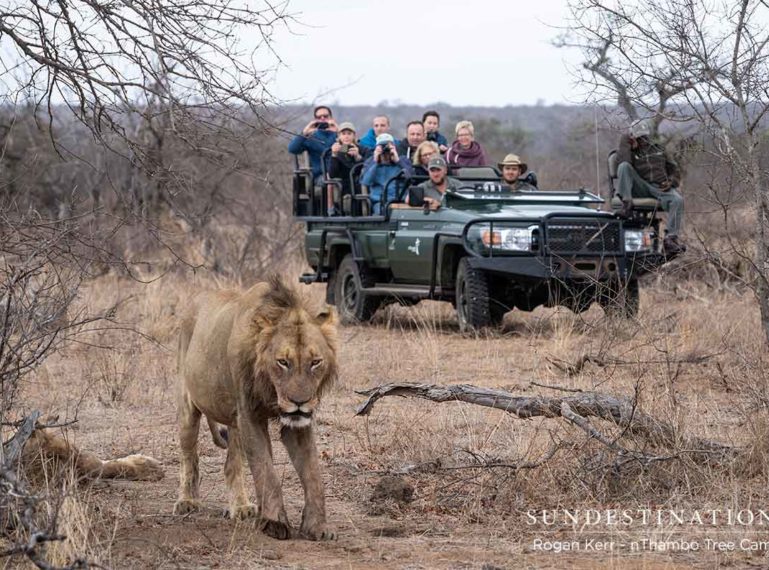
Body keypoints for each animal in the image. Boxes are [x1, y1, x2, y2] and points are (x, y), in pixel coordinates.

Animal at [177, 272, 340, 540]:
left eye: (315, 362)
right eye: (283, 362)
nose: (299, 402)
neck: (271, 390)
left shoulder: (296, 424)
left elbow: (313, 472)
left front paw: (318, 527)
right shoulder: (250, 416)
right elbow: (266, 470)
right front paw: (274, 522)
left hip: (234, 423)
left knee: (231, 465)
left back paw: (241, 507)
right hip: (189, 405)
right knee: (189, 456)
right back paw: (187, 501)